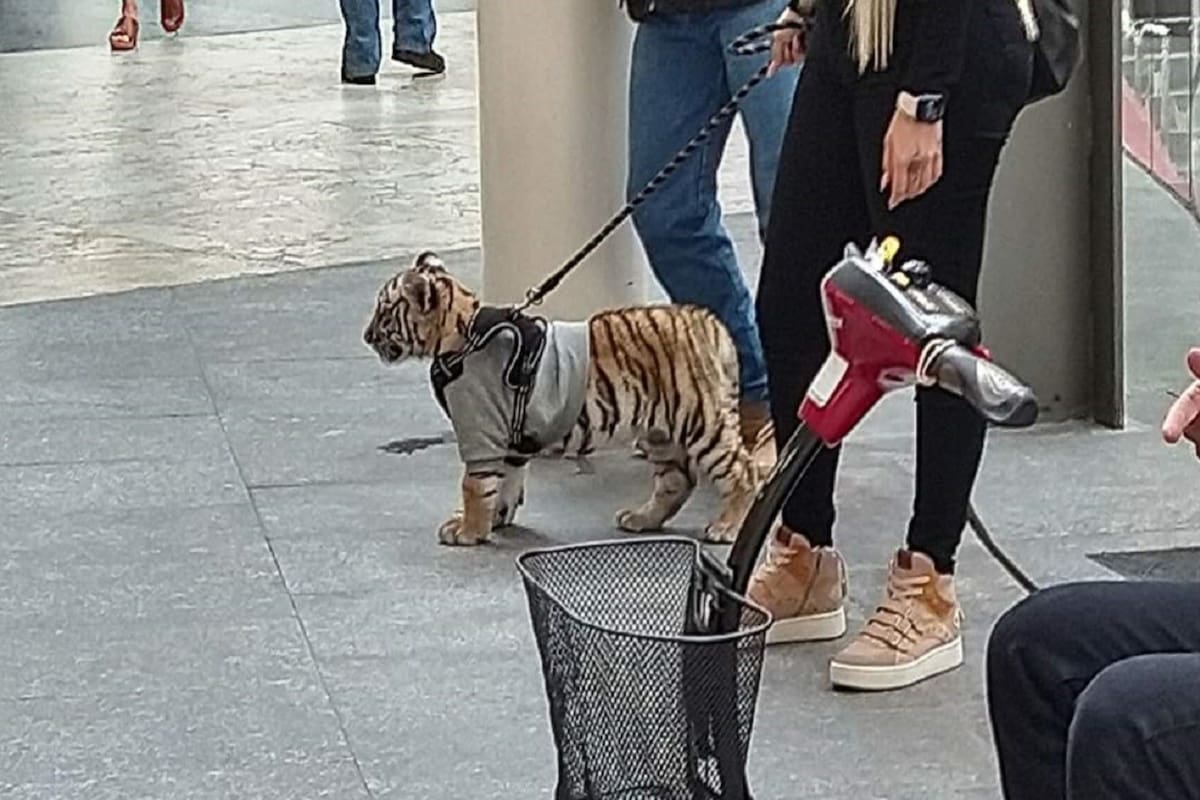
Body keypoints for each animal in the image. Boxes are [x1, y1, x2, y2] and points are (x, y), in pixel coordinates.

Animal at [362, 251, 762, 547]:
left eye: (384, 311)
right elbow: (506, 483)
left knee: (745, 471)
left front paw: (468, 531)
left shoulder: (480, 433)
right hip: (661, 432)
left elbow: (475, 485)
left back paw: (725, 527)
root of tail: (708, 320)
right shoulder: (511, 441)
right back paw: (640, 519)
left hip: (701, 423)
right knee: (677, 482)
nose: (366, 336)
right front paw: (497, 519)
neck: (460, 333)